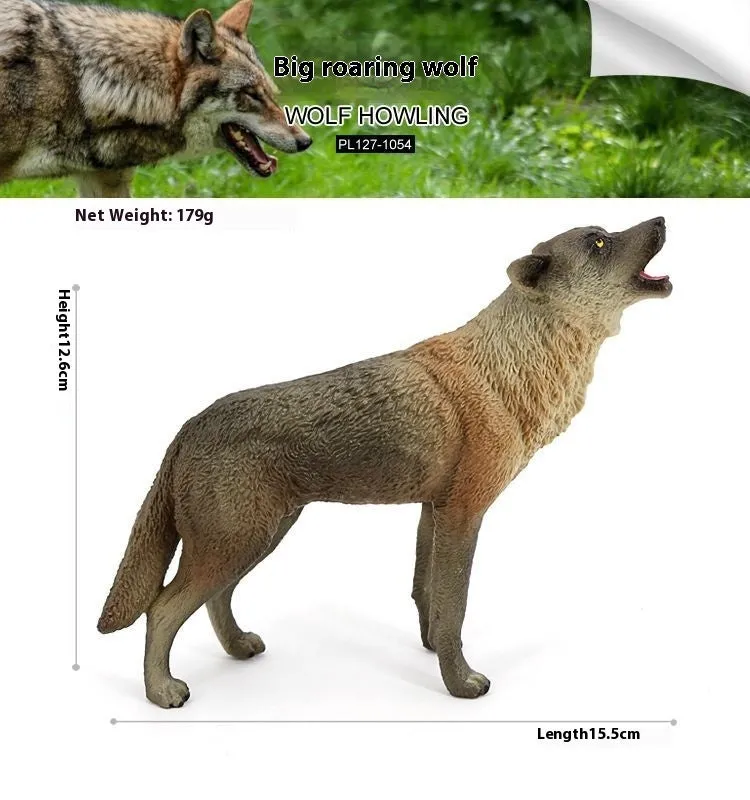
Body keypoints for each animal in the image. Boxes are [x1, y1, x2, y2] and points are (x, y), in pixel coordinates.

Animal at [98, 218, 671, 708]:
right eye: (599, 242)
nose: (662, 219)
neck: (508, 368)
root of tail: (190, 424)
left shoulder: (434, 510)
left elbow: (428, 599)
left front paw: (431, 651)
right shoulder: (464, 514)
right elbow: (454, 608)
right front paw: (460, 684)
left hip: (258, 538)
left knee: (215, 601)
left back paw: (239, 649)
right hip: (237, 542)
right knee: (162, 609)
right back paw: (162, 692)